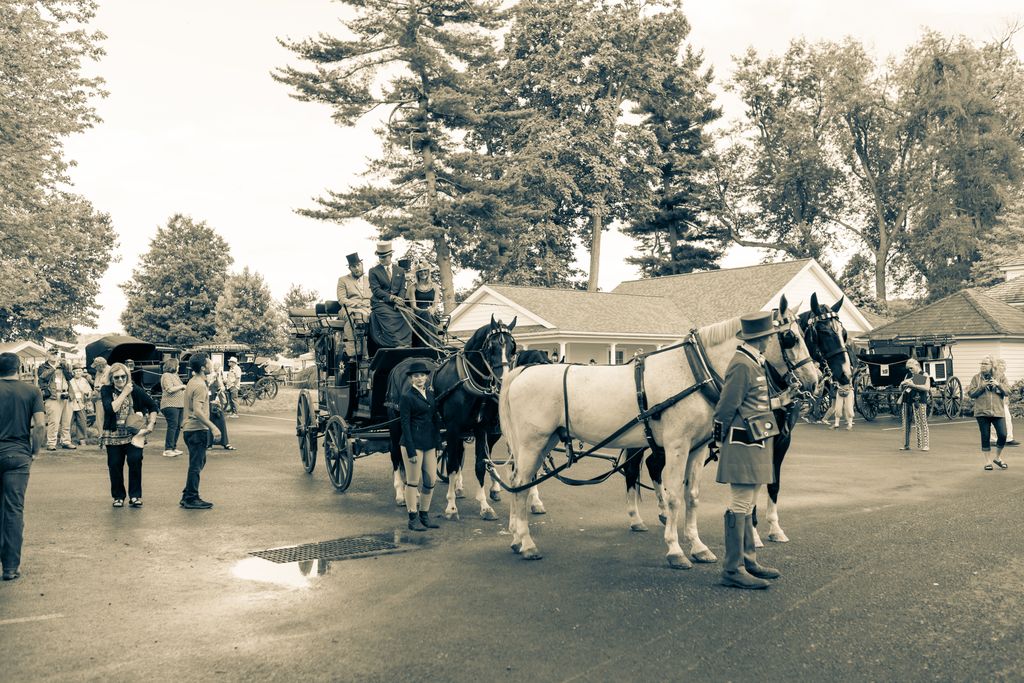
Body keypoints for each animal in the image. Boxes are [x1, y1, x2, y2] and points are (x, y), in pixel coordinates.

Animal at [499, 299, 819, 565]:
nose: (814, 380)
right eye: (791, 338)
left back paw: (516, 538)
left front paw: (698, 546)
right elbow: (674, 494)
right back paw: (526, 542)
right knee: (521, 485)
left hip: (543, 443)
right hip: (532, 443)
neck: (694, 372)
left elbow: (692, 495)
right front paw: (675, 550)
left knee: (518, 482)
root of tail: (520, 373)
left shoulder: (696, 448)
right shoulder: (677, 445)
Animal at [618, 294, 851, 544]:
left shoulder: (782, 440)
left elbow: (773, 484)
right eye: (823, 332)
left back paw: (661, 512)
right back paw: (636, 518)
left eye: (845, 334)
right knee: (633, 468)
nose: (845, 374)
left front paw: (773, 527)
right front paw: (754, 532)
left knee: (652, 464)